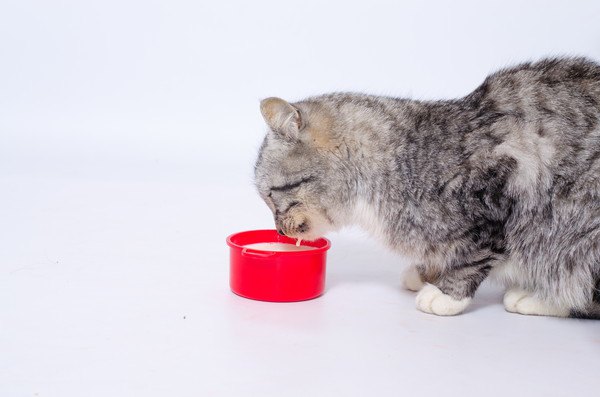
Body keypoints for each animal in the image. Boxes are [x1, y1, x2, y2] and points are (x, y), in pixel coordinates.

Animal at [253, 55, 600, 318]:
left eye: (270, 195)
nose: (279, 231)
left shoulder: (498, 194)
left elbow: (474, 255)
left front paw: (446, 294)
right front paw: (427, 271)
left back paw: (539, 297)